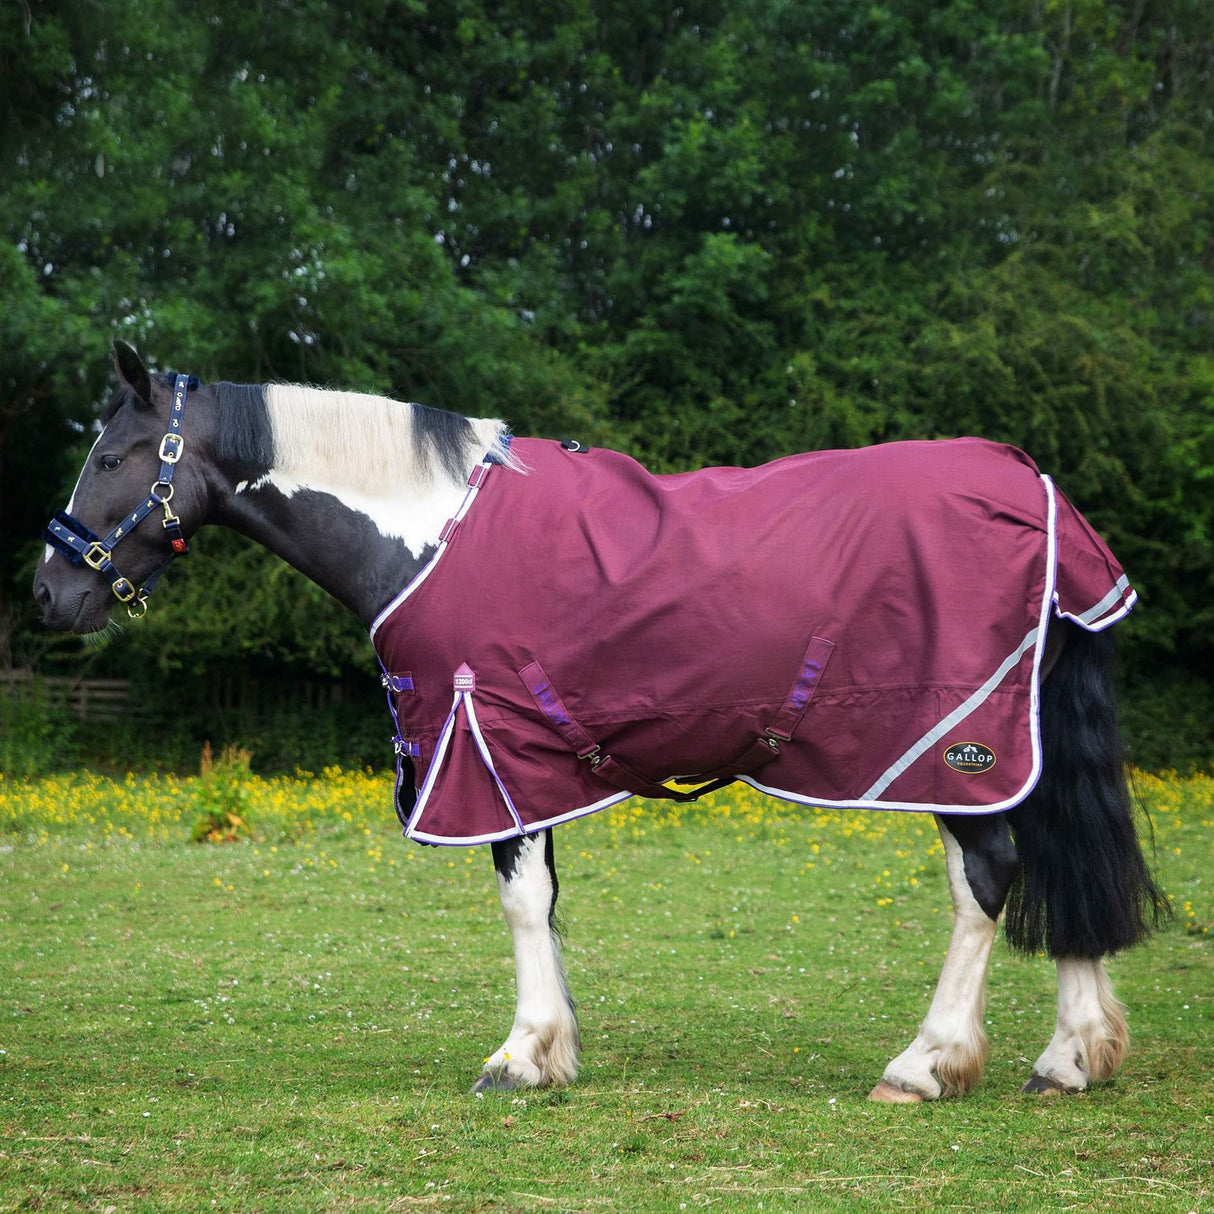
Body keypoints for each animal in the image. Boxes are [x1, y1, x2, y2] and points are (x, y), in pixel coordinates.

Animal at [34, 342, 1166, 1101]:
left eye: (111, 457)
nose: (50, 594)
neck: (423, 532)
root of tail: (1030, 485)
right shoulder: (514, 755)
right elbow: (540, 903)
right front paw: (547, 1048)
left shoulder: (487, 747)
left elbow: (522, 901)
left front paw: (520, 1054)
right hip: (1012, 745)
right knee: (1062, 865)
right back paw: (1070, 1056)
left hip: (951, 750)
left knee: (989, 877)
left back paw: (926, 1062)